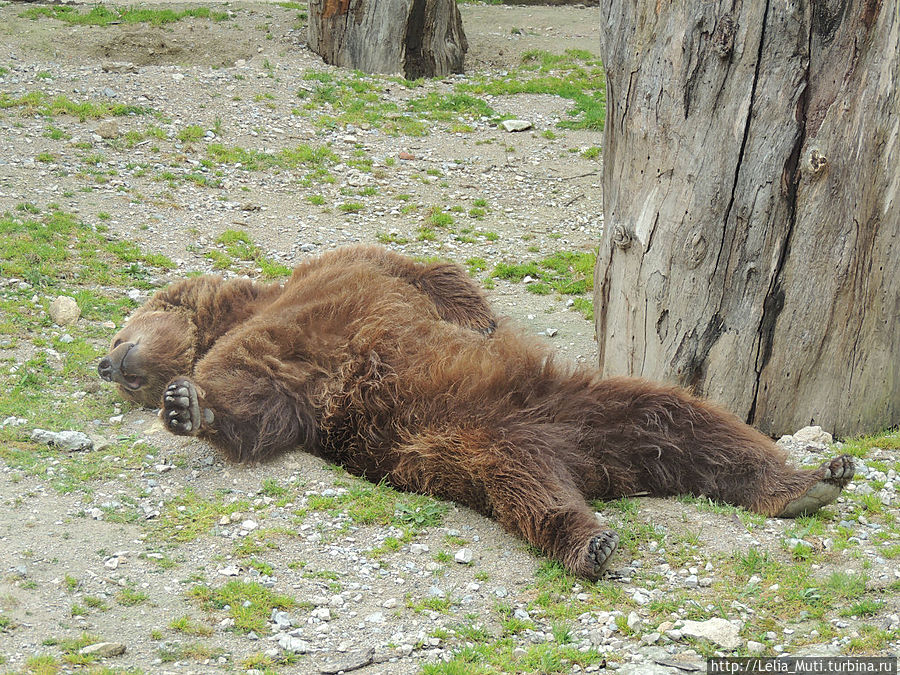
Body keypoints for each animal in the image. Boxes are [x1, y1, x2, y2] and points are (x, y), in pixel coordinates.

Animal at [98, 246, 856, 580]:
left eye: (114, 334)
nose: (108, 364)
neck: (244, 310)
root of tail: (589, 463)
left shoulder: (332, 286)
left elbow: (427, 274)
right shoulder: (291, 375)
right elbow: (259, 411)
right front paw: (191, 405)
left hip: (585, 404)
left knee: (688, 420)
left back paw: (809, 479)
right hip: (464, 443)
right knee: (524, 486)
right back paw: (589, 541)